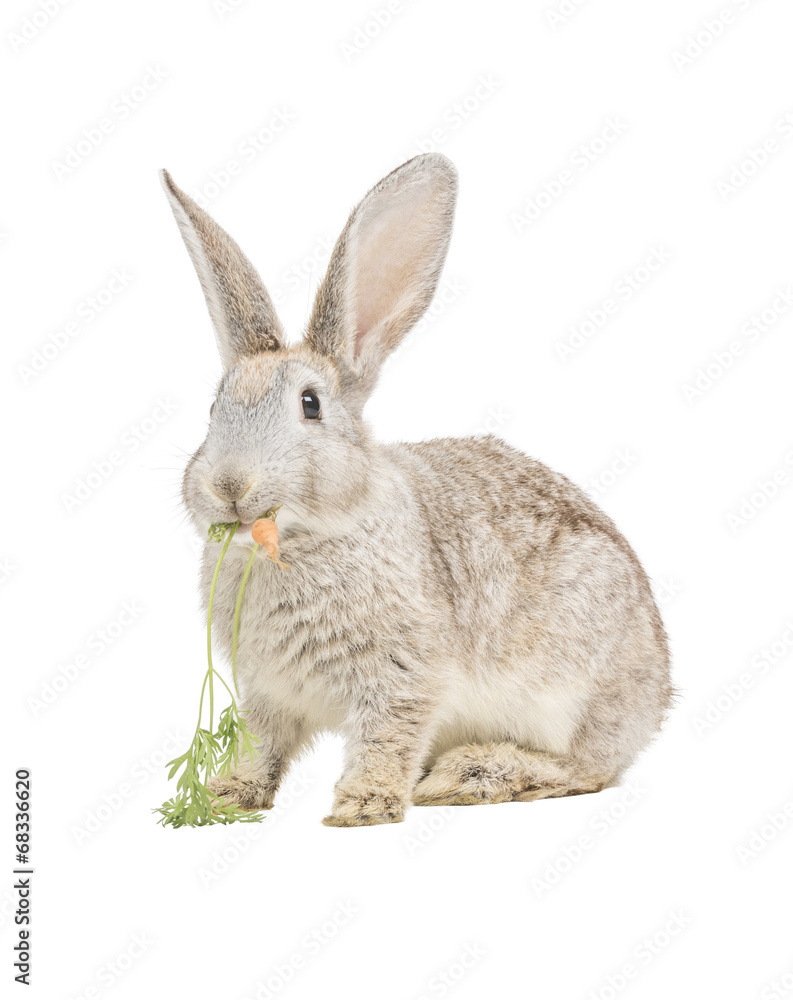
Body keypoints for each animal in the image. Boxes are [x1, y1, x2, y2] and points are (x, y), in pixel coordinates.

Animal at [161, 153, 673, 827]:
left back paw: (469, 775)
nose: (229, 485)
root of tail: (660, 692)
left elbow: (387, 738)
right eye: (213, 408)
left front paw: (361, 806)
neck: (300, 543)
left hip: (575, 693)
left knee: (587, 769)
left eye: (310, 405)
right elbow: (262, 746)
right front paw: (227, 792)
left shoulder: (402, 675)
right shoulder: (268, 692)